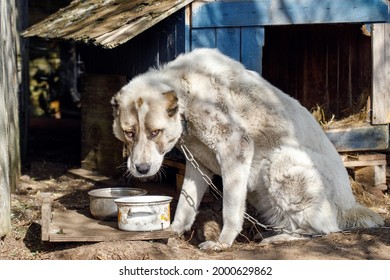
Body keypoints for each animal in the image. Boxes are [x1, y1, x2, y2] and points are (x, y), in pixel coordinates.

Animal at [110, 48, 384, 252]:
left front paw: (222, 243)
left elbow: (230, 209)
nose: (141, 169)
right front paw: (174, 231)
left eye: (155, 132)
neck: (187, 94)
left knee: (324, 229)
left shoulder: (235, 148)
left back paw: (277, 239)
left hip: (281, 159)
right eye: (129, 133)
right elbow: (186, 206)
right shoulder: (199, 164)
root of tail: (350, 206)